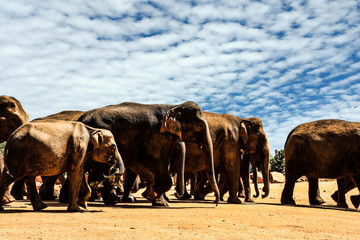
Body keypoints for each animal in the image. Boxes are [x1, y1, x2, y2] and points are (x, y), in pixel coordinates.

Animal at [77, 101, 221, 206]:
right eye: (200, 126)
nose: (215, 203)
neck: (171, 106)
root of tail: (80, 119)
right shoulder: (157, 137)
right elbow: (157, 165)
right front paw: (157, 199)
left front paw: (153, 197)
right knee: (103, 170)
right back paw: (112, 200)